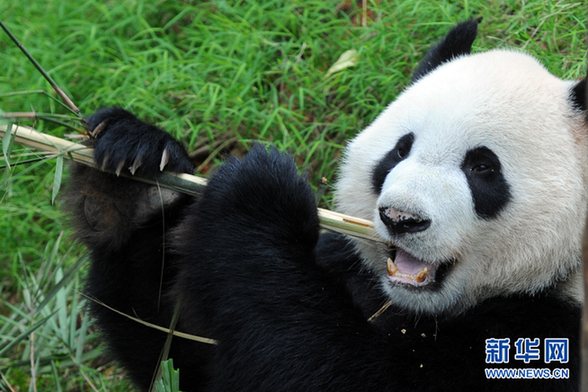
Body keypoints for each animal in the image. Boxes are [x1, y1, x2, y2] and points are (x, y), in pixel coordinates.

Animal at [66, 20, 584, 392]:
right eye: (400, 150)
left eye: (482, 168)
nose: (401, 218)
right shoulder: (346, 263)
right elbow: (183, 361)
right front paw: (132, 175)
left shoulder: (545, 332)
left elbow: (328, 373)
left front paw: (258, 192)